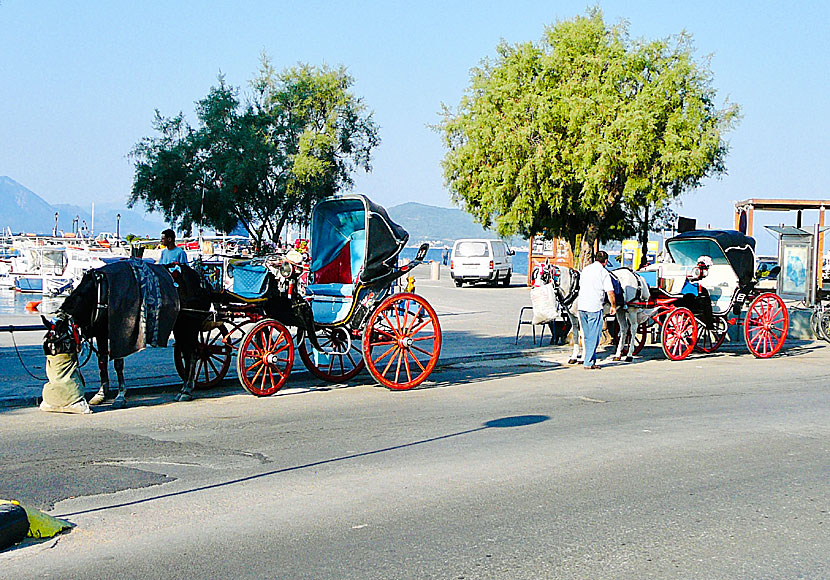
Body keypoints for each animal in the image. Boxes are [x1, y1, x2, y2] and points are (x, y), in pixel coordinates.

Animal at [55, 260, 211, 406]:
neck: (99, 292)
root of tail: (201, 281)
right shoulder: (101, 333)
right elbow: (102, 361)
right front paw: (101, 394)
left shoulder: (119, 331)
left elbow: (118, 363)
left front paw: (120, 395)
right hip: (180, 327)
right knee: (187, 353)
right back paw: (186, 387)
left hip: (189, 324)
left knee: (193, 353)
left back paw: (186, 390)